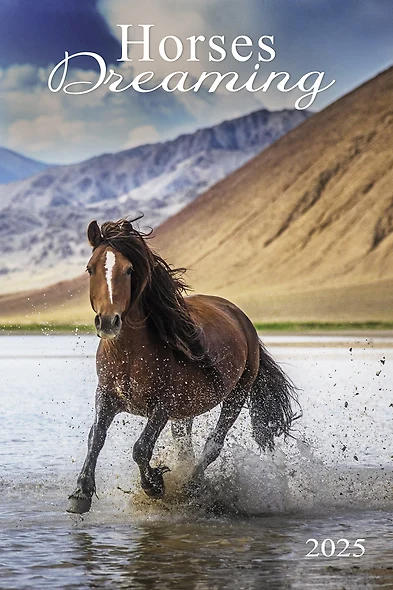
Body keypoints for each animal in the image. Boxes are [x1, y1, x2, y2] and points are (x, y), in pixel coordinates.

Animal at [68, 220, 300, 516]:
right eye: (90, 268)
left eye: (129, 270)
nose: (108, 321)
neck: (129, 356)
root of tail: (241, 318)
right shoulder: (106, 396)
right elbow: (95, 437)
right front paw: (80, 493)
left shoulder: (164, 405)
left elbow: (141, 448)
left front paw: (154, 485)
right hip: (185, 413)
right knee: (184, 447)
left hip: (236, 395)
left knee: (213, 444)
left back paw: (192, 487)